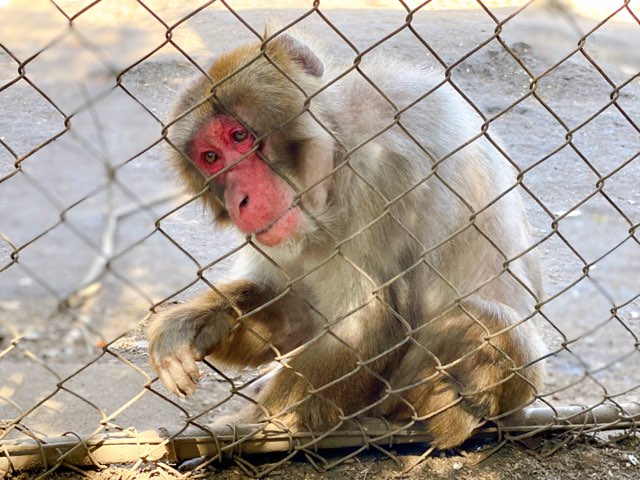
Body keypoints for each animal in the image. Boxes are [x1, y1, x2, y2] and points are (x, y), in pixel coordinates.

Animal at [148, 27, 544, 450]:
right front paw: (194, 324)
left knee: (487, 321)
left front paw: (254, 429)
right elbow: (300, 313)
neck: (337, 148)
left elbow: (364, 323)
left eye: (239, 136)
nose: (240, 200)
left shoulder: (380, 173)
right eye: (210, 157)